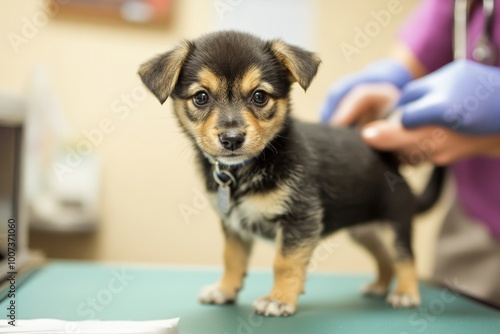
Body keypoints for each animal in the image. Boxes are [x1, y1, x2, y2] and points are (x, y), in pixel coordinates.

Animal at [139, 30, 440, 316]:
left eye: (259, 96)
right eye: (201, 97)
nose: (232, 138)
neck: (245, 169)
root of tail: (390, 161)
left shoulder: (300, 219)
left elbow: (284, 262)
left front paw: (279, 299)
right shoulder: (233, 225)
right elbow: (232, 258)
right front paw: (224, 290)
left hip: (395, 223)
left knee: (404, 258)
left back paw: (405, 293)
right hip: (364, 230)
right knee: (384, 258)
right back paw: (379, 285)